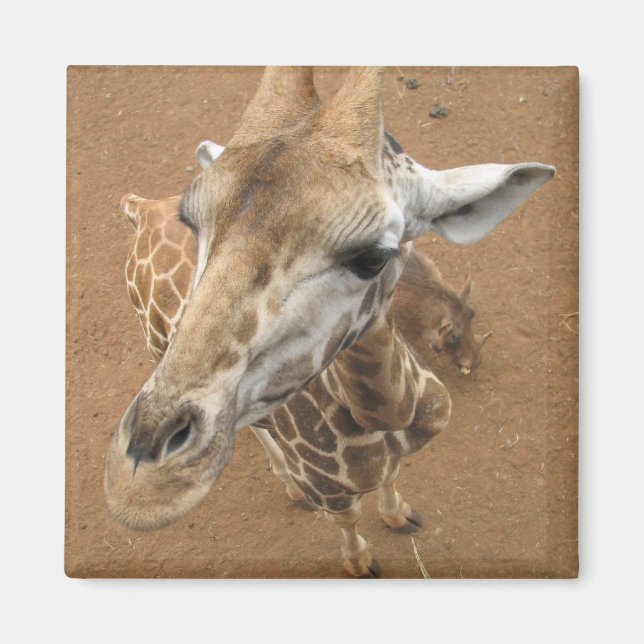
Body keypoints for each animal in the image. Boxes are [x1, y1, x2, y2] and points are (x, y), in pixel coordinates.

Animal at [104, 67, 554, 576]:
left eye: (373, 256)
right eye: (194, 223)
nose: (142, 486)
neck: (387, 420)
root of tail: (137, 209)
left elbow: (392, 478)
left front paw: (399, 515)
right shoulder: (331, 491)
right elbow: (349, 519)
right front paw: (360, 562)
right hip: (157, 346)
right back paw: (289, 486)